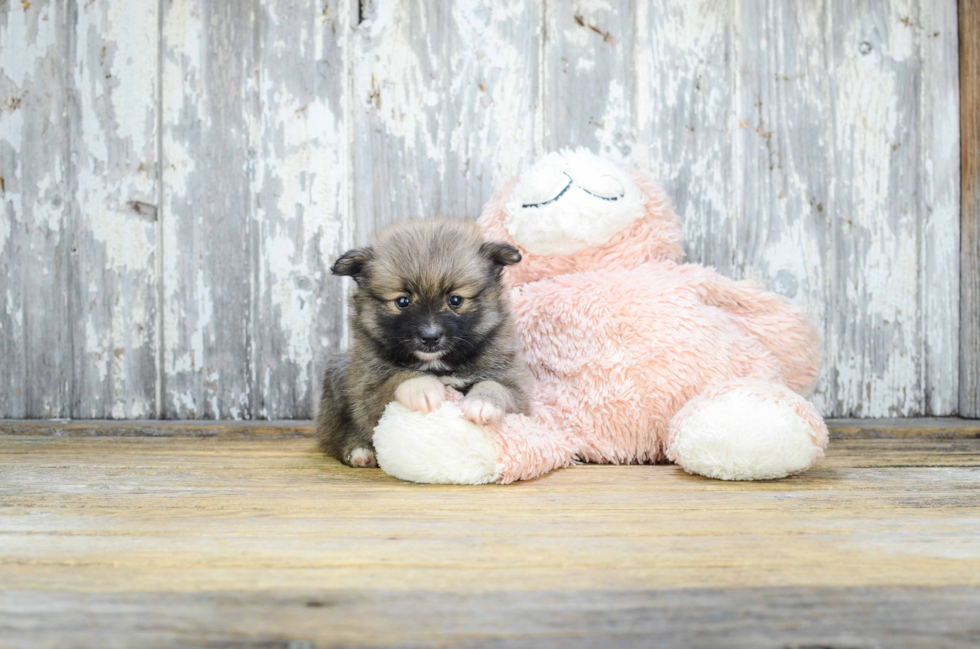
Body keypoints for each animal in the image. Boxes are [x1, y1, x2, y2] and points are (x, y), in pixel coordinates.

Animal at [316, 218, 532, 466]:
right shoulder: (367, 390)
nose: (430, 337)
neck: (436, 363)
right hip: (339, 374)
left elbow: (495, 386)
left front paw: (483, 403)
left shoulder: (516, 388)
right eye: (403, 301)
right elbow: (396, 377)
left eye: (455, 300)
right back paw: (360, 451)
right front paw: (422, 387)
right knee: (336, 432)